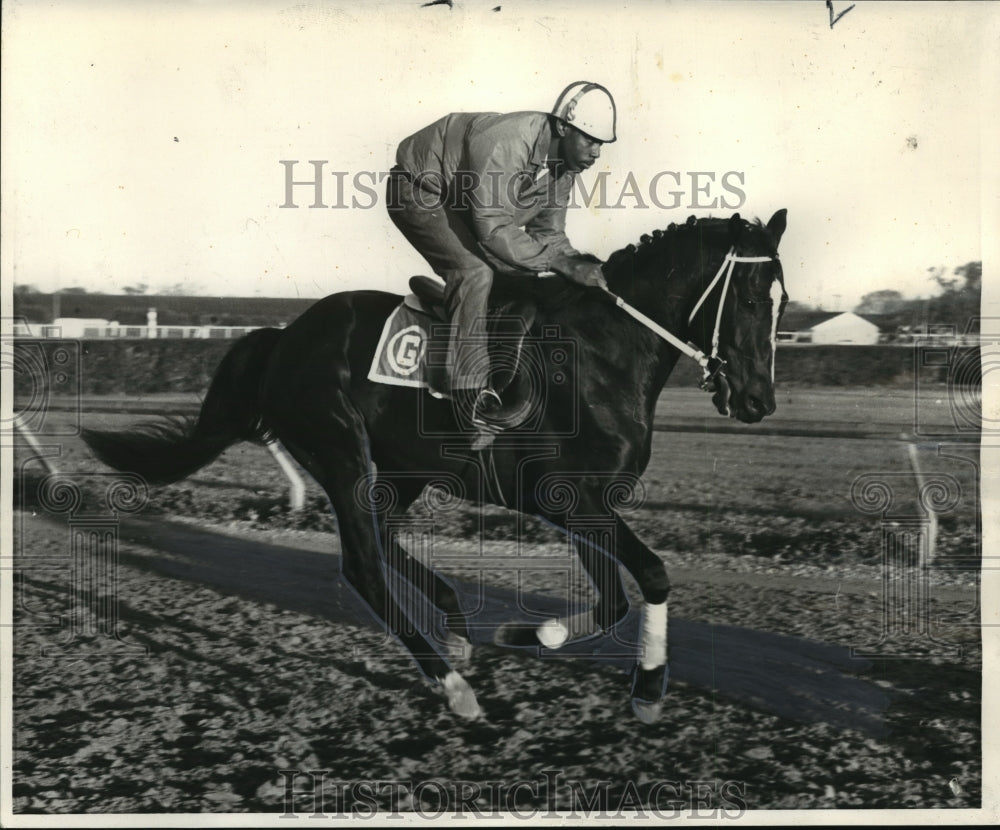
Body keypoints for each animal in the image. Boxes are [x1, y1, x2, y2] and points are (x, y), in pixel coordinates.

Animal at [82, 211, 788, 724]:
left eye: (785, 305)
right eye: (753, 302)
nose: (758, 400)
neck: (603, 355)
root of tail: (283, 336)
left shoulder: (586, 503)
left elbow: (614, 597)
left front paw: (534, 632)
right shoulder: (568, 499)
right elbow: (653, 574)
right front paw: (646, 689)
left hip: (403, 470)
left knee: (387, 541)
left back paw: (455, 628)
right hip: (341, 451)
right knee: (364, 564)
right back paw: (452, 686)